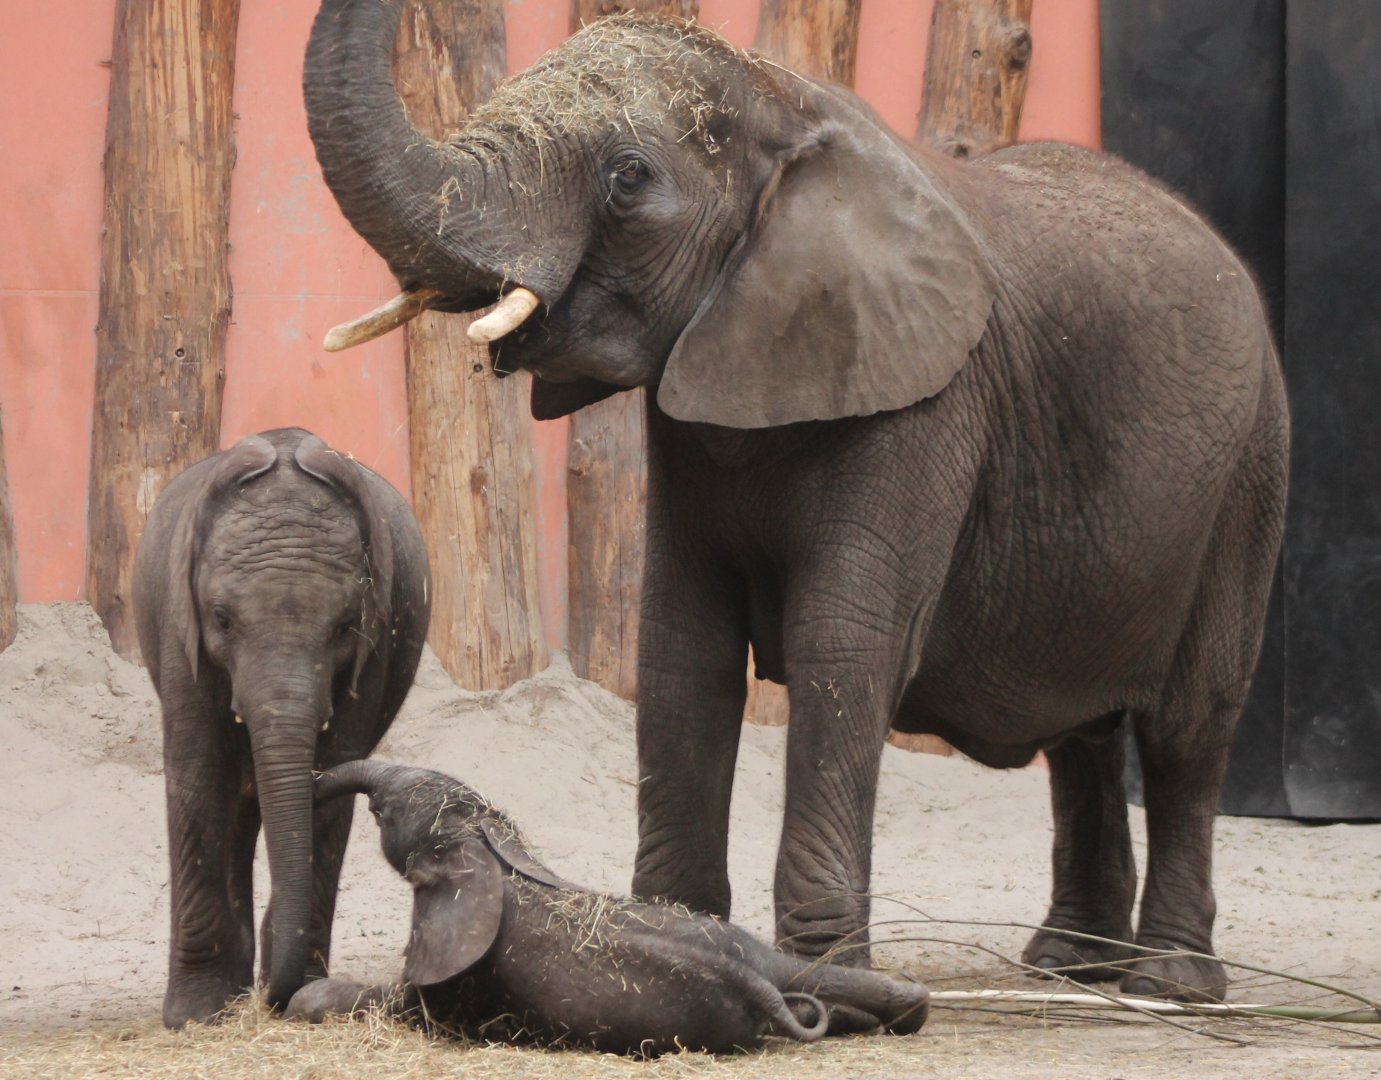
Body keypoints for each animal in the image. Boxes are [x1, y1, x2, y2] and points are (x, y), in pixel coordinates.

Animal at [133, 427, 431, 1027]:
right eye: (222, 619)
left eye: (344, 626)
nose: (275, 998)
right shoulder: (181, 633)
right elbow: (198, 778)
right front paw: (196, 1016)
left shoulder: (375, 643)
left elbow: (333, 776)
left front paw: (296, 992)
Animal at [284, 760, 930, 1054]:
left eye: (386, 812)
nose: (312, 780)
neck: (486, 850)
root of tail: (756, 981)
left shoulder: (464, 974)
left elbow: (406, 1004)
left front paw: (305, 1001)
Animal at [301, 5, 1289, 1002]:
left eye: (628, 177)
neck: (783, 100)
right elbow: (681, 646)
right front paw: (674, 937)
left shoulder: (925, 400)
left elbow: (842, 641)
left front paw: (822, 975)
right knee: (1080, 736)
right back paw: (1068, 964)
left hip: (1250, 473)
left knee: (1185, 730)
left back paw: (1167, 983)